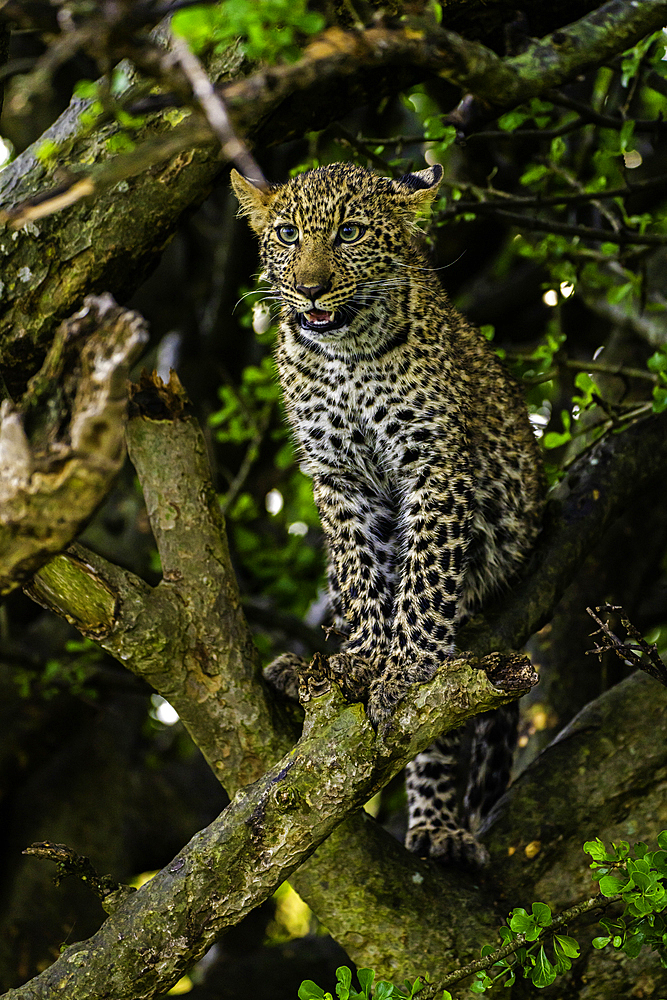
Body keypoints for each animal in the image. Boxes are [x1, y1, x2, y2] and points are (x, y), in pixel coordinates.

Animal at [231, 160, 544, 864]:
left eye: (348, 232)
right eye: (287, 235)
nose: (311, 290)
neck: (345, 354)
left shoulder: (435, 466)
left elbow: (424, 578)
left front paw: (402, 667)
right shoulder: (337, 479)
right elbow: (361, 570)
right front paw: (368, 656)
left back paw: (438, 827)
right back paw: (302, 667)